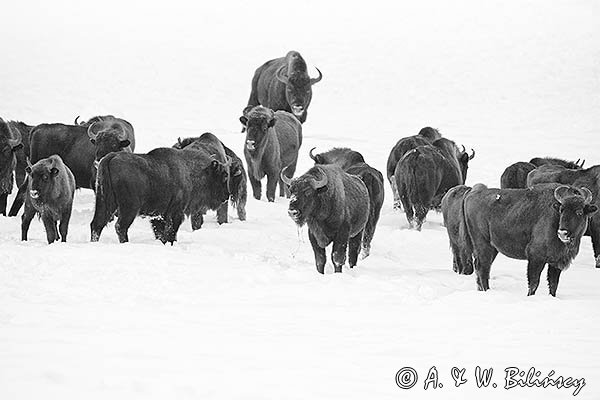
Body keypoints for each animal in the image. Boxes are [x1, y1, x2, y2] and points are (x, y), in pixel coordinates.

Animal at [90, 147, 231, 244]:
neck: (190, 170)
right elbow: (171, 231)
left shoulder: (158, 215)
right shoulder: (175, 212)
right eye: (224, 175)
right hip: (129, 208)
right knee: (120, 226)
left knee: (97, 224)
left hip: (104, 202)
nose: (227, 195)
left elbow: (160, 232)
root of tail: (111, 157)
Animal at [460, 183, 596, 296]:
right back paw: (486, 291)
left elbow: (553, 284)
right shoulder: (536, 258)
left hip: (493, 248)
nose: (562, 233)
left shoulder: (556, 262)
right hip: (484, 245)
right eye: (561, 210)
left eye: (579, 212)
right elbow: (534, 283)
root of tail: (471, 194)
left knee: (482, 269)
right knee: (483, 268)